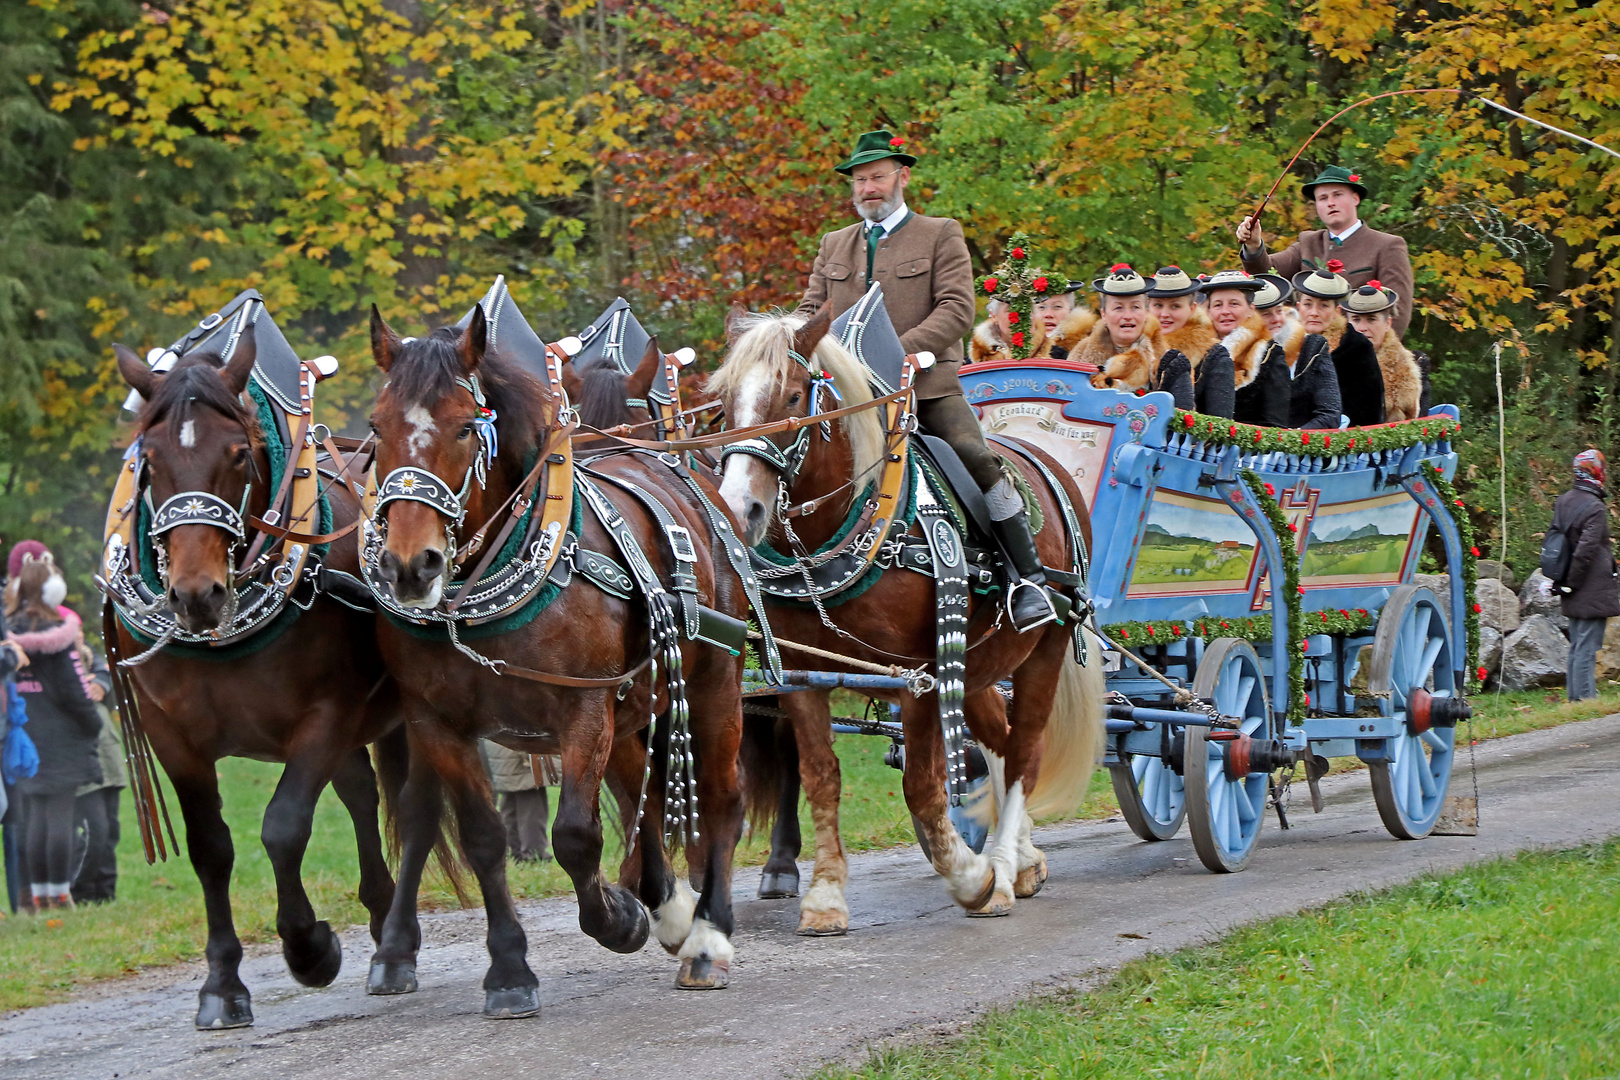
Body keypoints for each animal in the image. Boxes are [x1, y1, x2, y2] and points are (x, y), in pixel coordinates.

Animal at [109, 327, 403, 1029]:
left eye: (239, 454)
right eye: (149, 461)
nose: (196, 595)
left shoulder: (326, 714)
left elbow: (283, 826)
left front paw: (309, 947)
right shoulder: (171, 735)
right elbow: (211, 847)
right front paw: (221, 984)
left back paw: (396, 945)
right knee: (361, 795)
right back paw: (383, 918)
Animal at [361, 306, 745, 1023]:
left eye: (465, 425)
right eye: (376, 426)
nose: (409, 566)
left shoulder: (585, 707)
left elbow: (574, 835)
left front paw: (618, 918)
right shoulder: (438, 724)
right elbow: (485, 839)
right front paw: (510, 970)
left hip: (714, 682)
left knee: (722, 796)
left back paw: (708, 935)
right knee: (644, 791)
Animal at [716, 307, 1108, 932]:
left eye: (794, 395)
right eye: (727, 401)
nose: (740, 508)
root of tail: (1044, 461)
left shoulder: (917, 674)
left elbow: (923, 786)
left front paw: (971, 878)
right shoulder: (803, 673)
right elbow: (821, 777)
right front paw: (825, 895)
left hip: (1043, 648)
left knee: (1025, 752)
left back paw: (1001, 866)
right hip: (977, 664)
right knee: (999, 745)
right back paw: (1022, 860)